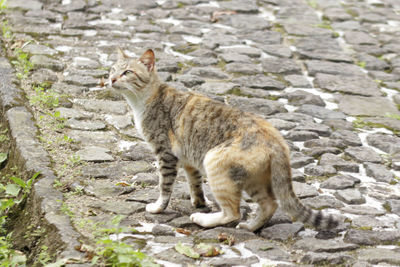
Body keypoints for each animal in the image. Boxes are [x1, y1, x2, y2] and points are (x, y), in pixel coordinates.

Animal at [108, 48, 338, 232]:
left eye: (127, 72)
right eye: (112, 69)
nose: (111, 80)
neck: (143, 100)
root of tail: (277, 140)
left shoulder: (165, 154)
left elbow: (165, 186)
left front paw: (159, 207)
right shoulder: (189, 159)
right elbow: (195, 184)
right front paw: (199, 202)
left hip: (215, 163)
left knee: (233, 212)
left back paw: (203, 220)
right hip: (253, 179)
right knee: (269, 204)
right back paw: (250, 226)